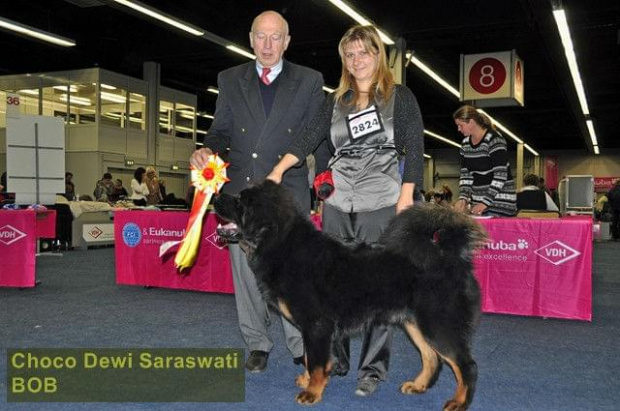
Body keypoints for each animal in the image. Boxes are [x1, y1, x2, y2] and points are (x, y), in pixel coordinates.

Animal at [216, 182, 486, 410]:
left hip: (438, 323)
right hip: (415, 322)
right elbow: (308, 357)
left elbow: (316, 361)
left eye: (241, 201)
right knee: (432, 358)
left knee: (466, 365)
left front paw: (312, 392)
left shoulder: (317, 324)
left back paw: (459, 402)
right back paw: (418, 386)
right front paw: (307, 380)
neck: (281, 245)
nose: (217, 196)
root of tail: (449, 255)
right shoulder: (312, 327)